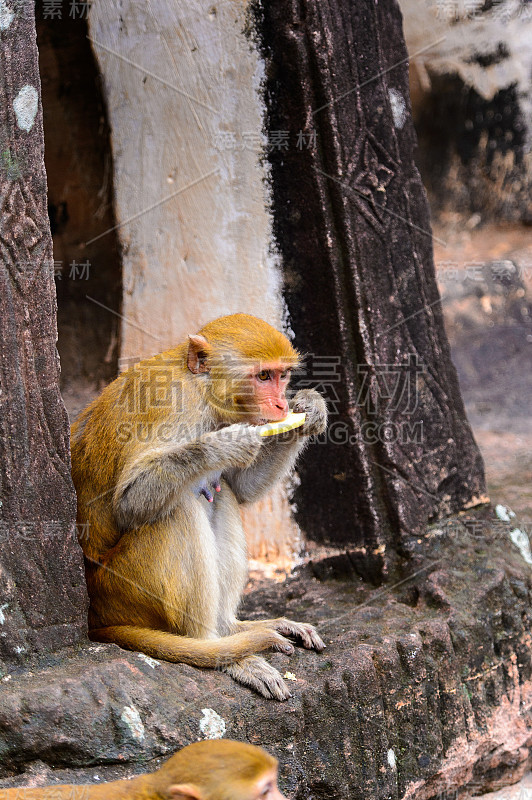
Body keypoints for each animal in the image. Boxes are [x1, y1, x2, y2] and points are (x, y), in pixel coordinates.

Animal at [69, 312, 328, 700]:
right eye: (262, 377)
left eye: (282, 376)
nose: (282, 405)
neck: (204, 392)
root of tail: (95, 617)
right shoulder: (171, 405)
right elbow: (129, 502)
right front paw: (224, 444)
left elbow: (241, 489)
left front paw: (310, 410)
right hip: (120, 589)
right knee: (178, 509)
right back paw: (220, 651)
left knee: (223, 496)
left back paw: (231, 629)